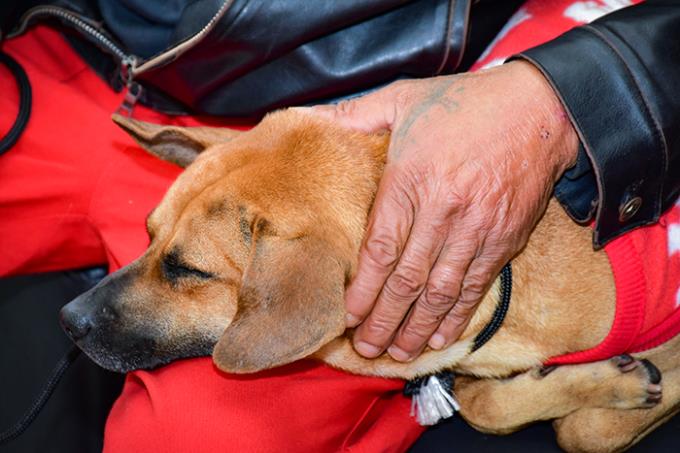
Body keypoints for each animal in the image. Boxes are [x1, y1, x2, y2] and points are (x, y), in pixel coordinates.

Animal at [61, 110, 676, 452]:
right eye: (148, 235)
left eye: (188, 269)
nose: (67, 320)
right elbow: (483, 403)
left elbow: (583, 431)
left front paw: (616, 386)